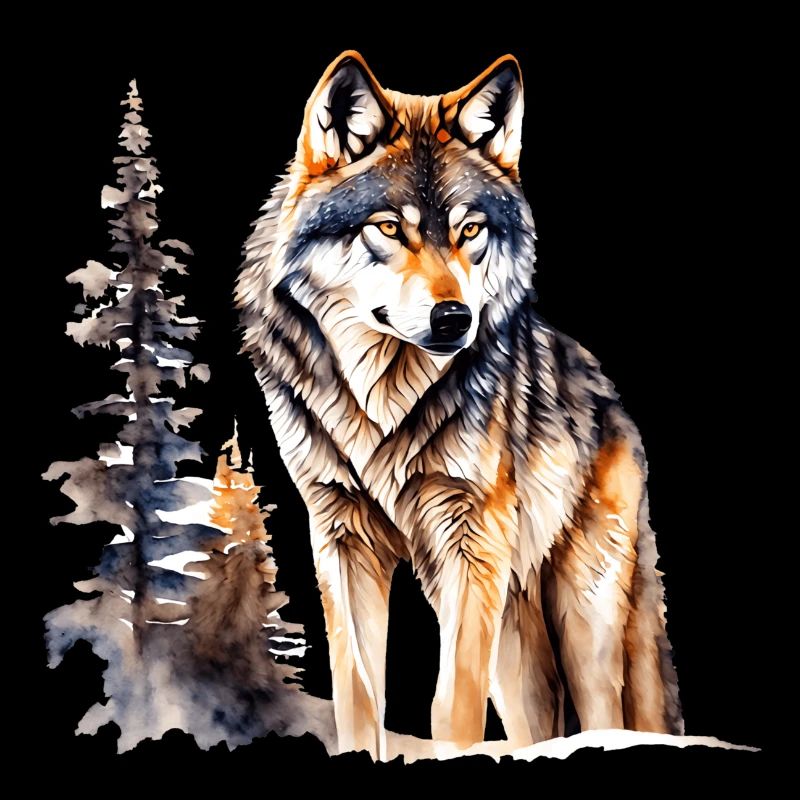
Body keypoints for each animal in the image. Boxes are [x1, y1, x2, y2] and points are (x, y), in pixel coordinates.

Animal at [237, 51, 682, 758]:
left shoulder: (470, 543)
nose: (455, 319)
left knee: (607, 710)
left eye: (470, 230)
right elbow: (358, 694)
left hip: (585, 615)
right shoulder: (340, 536)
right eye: (389, 229)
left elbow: (451, 705)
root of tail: (607, 391)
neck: (382, 405)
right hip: (516, 638)